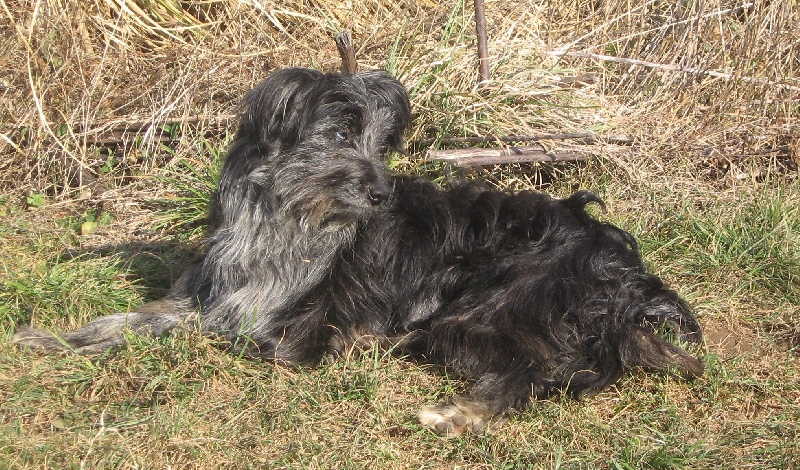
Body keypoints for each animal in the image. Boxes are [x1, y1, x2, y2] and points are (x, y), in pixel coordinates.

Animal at [10, 68, 700, 436]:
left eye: (382, 144)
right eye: (343, 134)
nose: (384, 191)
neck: (291, 219)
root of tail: (624, 270)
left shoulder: (287, 330)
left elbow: (205, 334)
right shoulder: (212, 294)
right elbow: (134, 318)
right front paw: (51, 337)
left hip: (487, 306)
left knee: (536, 369)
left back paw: (459, 413)